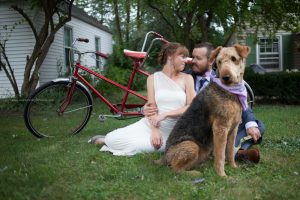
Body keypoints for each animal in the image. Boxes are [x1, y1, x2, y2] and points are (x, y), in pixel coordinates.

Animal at [157, 43, 251, 177]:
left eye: (234, 58)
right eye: (219, 61)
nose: (226, 77)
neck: (231, 92)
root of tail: (164, 157)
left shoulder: (234, 128)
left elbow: (230, 151)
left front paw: (233, 167)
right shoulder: (220, 128)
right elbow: (221, 155)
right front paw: (222, 175)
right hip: (191, 145)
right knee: (175, 169)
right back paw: (195, 173)